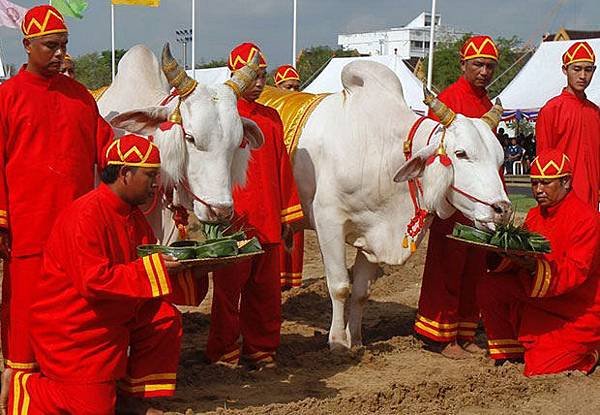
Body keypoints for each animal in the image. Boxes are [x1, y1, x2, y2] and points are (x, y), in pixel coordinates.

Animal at [290, 60, 510, 350]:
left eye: (500, 159)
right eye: (461, 153)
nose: (502, 209)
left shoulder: (371, 232)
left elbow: (360, 292)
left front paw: (356, 341)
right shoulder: (328, 221)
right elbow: (339, 286)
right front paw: (338, 343)